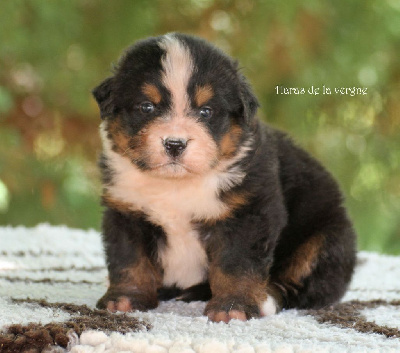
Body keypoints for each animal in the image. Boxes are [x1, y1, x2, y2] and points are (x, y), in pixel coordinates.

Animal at [93, 33, 356, 322]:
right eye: (147, 107)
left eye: (206, 111)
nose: (175, 144)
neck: (176, 186)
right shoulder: (126, 210)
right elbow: (130, 259)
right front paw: (125, 299)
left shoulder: (247, 212)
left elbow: (236, 264)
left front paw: (233, 307)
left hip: (325, 238)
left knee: (302, 285)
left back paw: (267, 298)